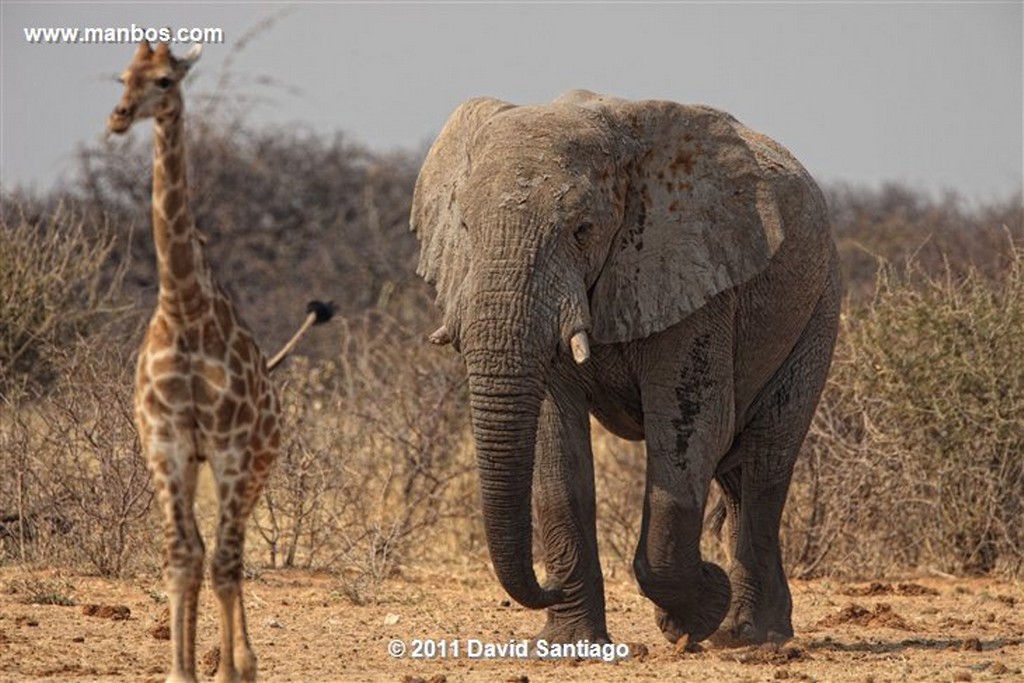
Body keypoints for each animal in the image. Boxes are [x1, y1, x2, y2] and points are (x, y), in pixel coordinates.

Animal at [108, 40, 331, 679]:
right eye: (123, 77)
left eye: (164, 80)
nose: (119, 117)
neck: (184, 308)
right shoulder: (166, 443)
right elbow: (183, 556)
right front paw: (179, 670)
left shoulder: (231, 448)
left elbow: (223, 563)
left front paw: (233, 667)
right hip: (200, 462)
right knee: (208, 553)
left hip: (256, 461)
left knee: (233, 555)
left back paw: (243, 662)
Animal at [409, 89, 839, 647]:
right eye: (464, 228)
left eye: (582, 230)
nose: (545, 586)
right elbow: (556, 452)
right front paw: (570, 645)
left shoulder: (695, 274)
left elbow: (693, 431)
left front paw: (696, 611)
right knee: (739, 475)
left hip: (819, 306)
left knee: (766, 461)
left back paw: (750, 634)